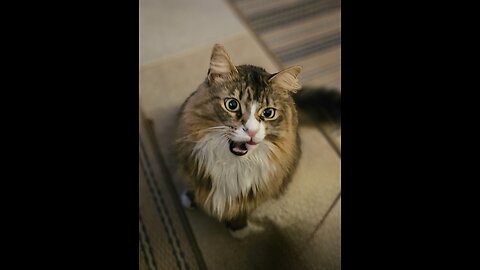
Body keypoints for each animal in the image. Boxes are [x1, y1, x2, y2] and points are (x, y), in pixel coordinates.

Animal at [174, 43, 340, 237]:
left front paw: (238, 228)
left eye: (268, 113)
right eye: (232, 105)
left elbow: (246, 207)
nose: (251, 131)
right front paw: (191, 198)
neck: (233, 164)